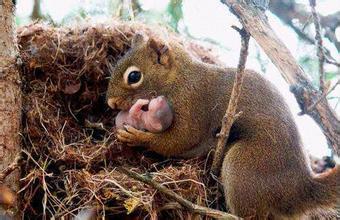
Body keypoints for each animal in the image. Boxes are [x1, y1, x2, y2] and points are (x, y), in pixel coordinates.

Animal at [105, 33, 338, 219]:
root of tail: (300, 189)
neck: (178, 79)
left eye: (134, 76)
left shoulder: (193, 104)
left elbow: (180, 140)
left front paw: (136, 137)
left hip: (243, 165)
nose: (111, 103)